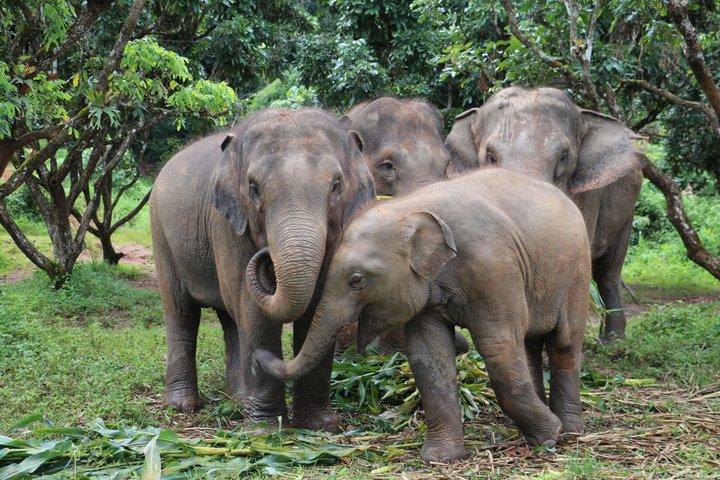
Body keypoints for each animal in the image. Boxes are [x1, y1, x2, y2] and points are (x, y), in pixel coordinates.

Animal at [149, 108, 375, 430]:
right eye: (254, 188)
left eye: (336, 185)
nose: (268, 258)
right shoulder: (226, 225)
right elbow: (255, 314)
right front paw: (266, 430)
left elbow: (318, 309)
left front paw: (320, 425)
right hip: (161, 233)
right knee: (182, 312)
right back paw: (183, 406)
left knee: (230, 319)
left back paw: (238, 401)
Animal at [254, 167, 591, 462]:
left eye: (357, 280)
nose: (261, 354)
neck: (410, 208)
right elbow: (428, 355)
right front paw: (441, 458)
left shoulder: (494, 270)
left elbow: (499, 347)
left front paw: (550, 437)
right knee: (531, 344)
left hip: (577, 271)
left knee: (563, 343)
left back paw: (570, 431)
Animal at [444, 87, 646, 341]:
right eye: (491, 157)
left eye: (563, 157)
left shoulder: (588, 198)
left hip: (627, 212)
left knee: (608, 271)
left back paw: (613, 339)